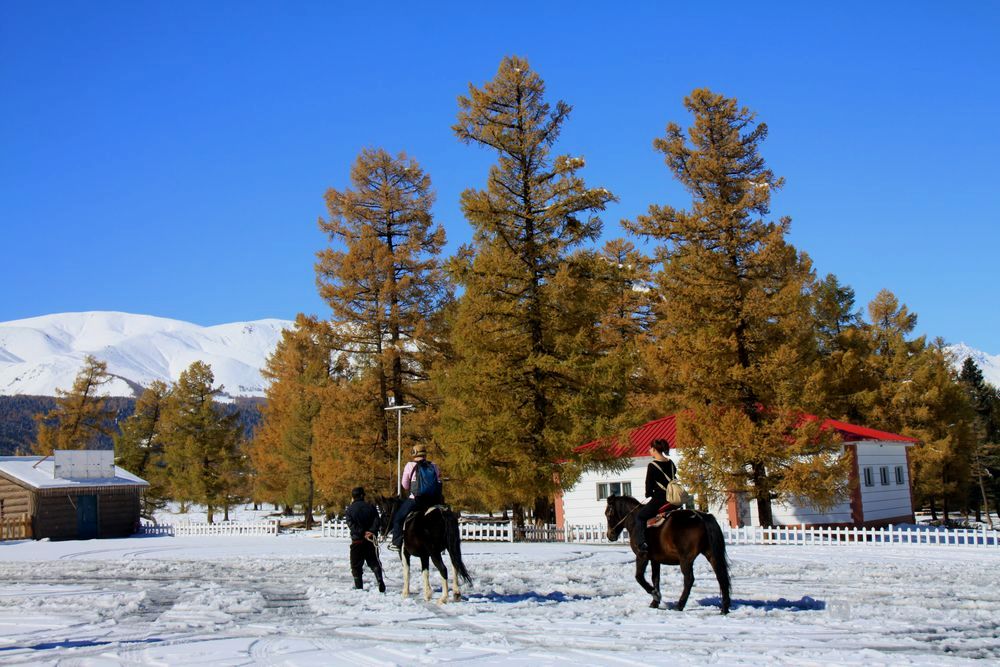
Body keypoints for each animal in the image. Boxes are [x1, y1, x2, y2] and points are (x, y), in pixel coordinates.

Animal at [604, 496, 732, 616]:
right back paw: (724, 608)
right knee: (721, 577)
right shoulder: (655, 560)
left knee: (689, 579)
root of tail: (701, 516)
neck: (635, 521)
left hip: (686, 559)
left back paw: (680, 605)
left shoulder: (642, 556)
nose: (610, 535)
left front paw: (655, 595)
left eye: (608, 514)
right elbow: (655, 578)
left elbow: (639, 577)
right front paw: (655, 602)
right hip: (711, 555)